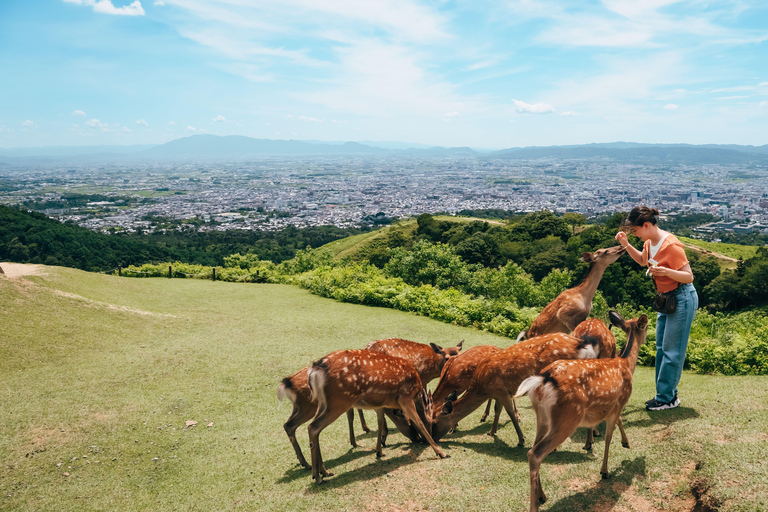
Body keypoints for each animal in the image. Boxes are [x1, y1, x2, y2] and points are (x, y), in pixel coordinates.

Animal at [306, 348, 450, 484]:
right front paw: (441, 452)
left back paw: (324, 471)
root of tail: (314, 371)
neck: (416, 392)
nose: (422, 440)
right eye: (432, 421)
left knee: (314, 428)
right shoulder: (405, 397)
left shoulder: (380, 404)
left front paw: (379, 451)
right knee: (313, 427)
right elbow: (419, 422)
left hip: (323, 402)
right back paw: (317, 477)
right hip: (340, 400)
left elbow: (380, 422)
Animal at [428, 330, 608, 446]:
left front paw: (521, 440)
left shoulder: (500, 390)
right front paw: (492, 431)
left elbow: (509, 413)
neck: (481, 386)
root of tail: (586, 348)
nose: (429, 439)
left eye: (434, 422)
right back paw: (589, 442)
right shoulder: (500, 392)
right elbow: (498, 409)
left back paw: (587, 444)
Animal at [516, 310, 648, 510]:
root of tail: (543, 380)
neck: (626, 363)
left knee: (533, 447)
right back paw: (535, 505)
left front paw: (622, 443)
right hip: (568, 417)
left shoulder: (611, 407)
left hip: (542, 417)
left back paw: (542, 496)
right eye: (646, 327)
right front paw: (605, 470)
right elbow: (609, 436)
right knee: (535, 454)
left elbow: (614, 425)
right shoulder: (619, 402)